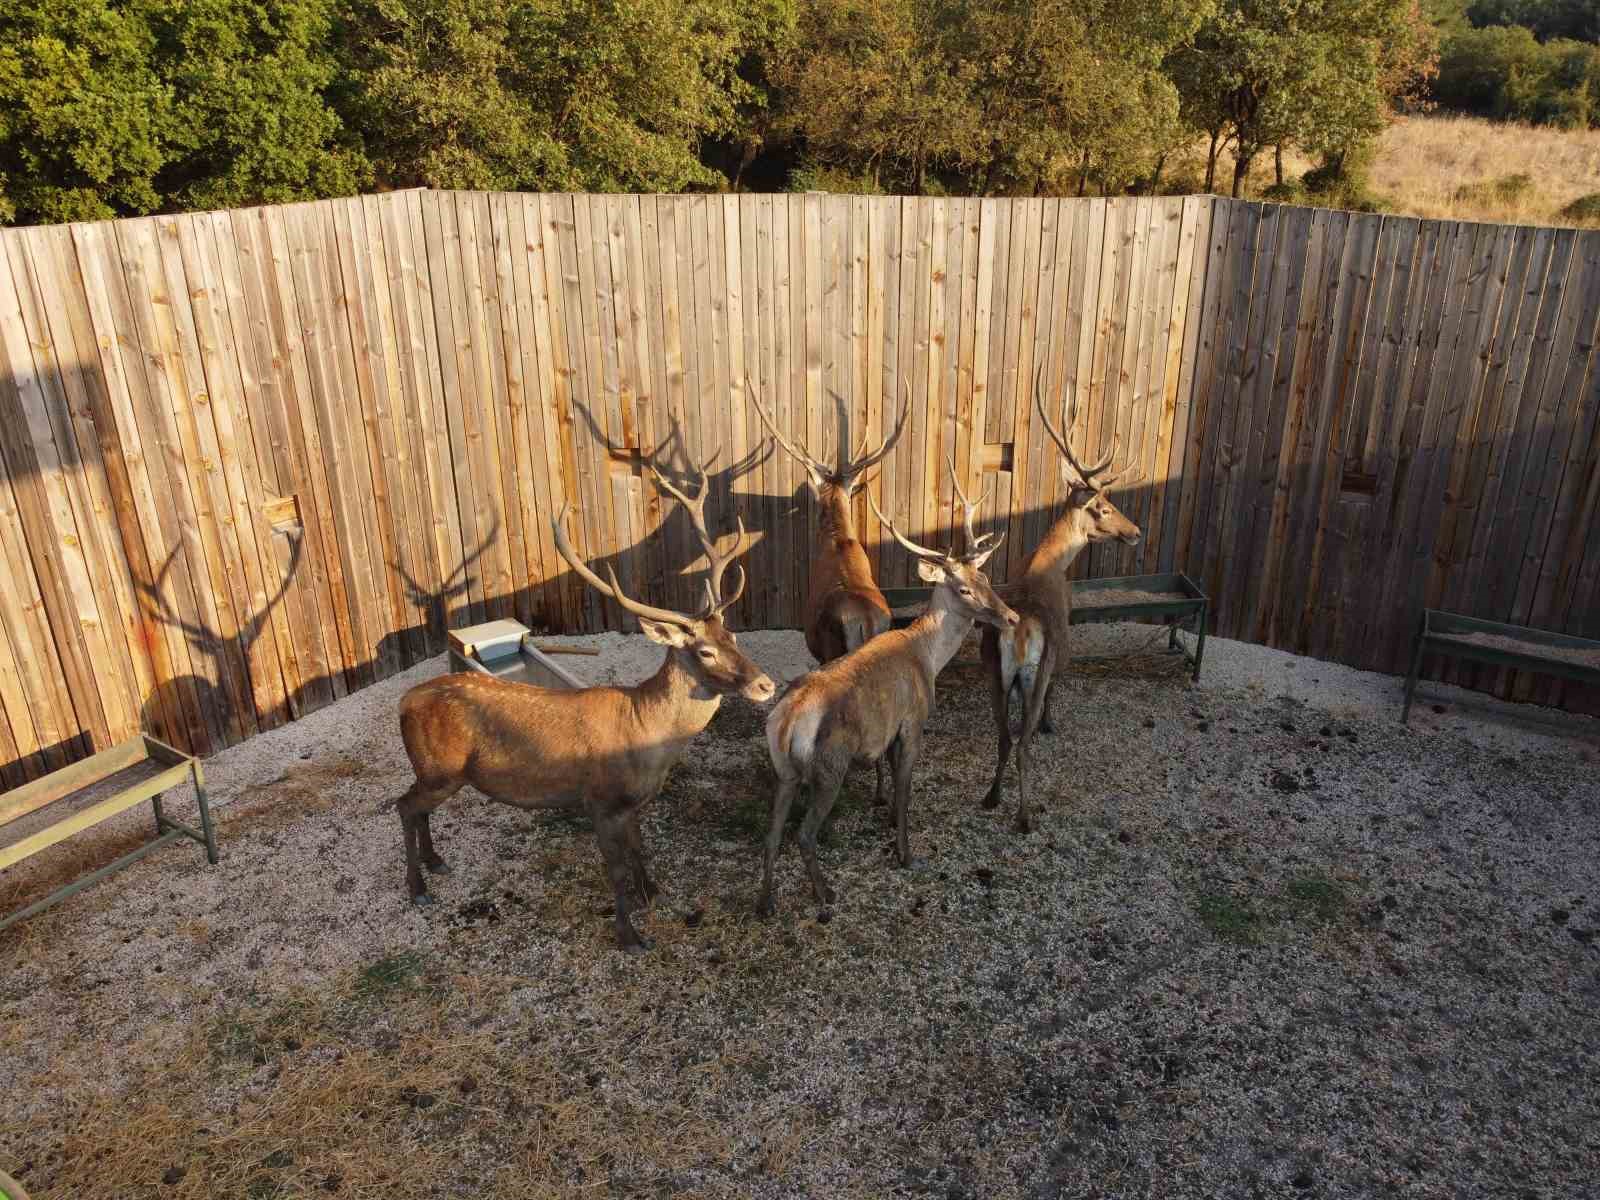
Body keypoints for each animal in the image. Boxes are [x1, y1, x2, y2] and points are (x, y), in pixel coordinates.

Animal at [396, 454, 777, 953]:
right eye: (705, 651)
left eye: (733, 637)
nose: (766, 685)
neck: (645, 737)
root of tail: (404, 702)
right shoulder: (599, 800)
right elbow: (614, 871)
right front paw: (629, 935)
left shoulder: (631, 804)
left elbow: (639, 849)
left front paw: (651, 892)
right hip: (440, 769)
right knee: (403, 806)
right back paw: (417, 888)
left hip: (437, 773)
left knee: (417, 808)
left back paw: (436, 862)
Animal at [758, 473, 1011, 921]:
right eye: (963, 589)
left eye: (986, 580)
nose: (1009, 616)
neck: (927, 658)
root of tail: (785, 723)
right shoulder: (912, 722)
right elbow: (906, 788)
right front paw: (906, 854)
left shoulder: (889, 732)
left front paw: (888, 821)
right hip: (829, 767)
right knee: (803, 834)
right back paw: (825, 894)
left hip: (784, 770)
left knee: (771, 835)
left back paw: (767, 902)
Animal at [972, 366, 1139, 838]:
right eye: (1104, 506)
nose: (1135, 531)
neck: (1050, 563)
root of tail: (1019, 633)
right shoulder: (1063, 649)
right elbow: (1057, 692)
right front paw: (1052, 723)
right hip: (1036, 668)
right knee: (1022, 741)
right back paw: (1024, 815)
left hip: (994, 670)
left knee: (1003, 735)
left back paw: (991, 797)